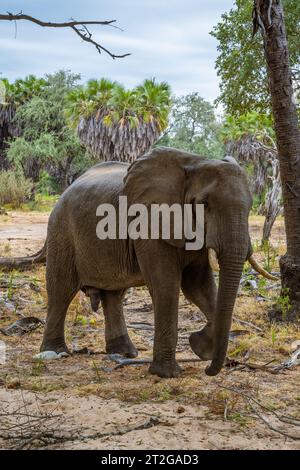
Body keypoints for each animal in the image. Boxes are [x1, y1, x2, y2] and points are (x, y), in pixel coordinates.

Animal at [0, 147, 276, 378]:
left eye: (251, 205)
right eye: (204, 204)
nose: (209, 371)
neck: (194, 163)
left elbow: (199, 286)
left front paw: (199, 346)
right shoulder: (149, 222)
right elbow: (167, 285)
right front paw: (168, 374)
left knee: (113, 295)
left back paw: (124, 353)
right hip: (61, 231)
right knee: (61, 291)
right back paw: (55, 352)